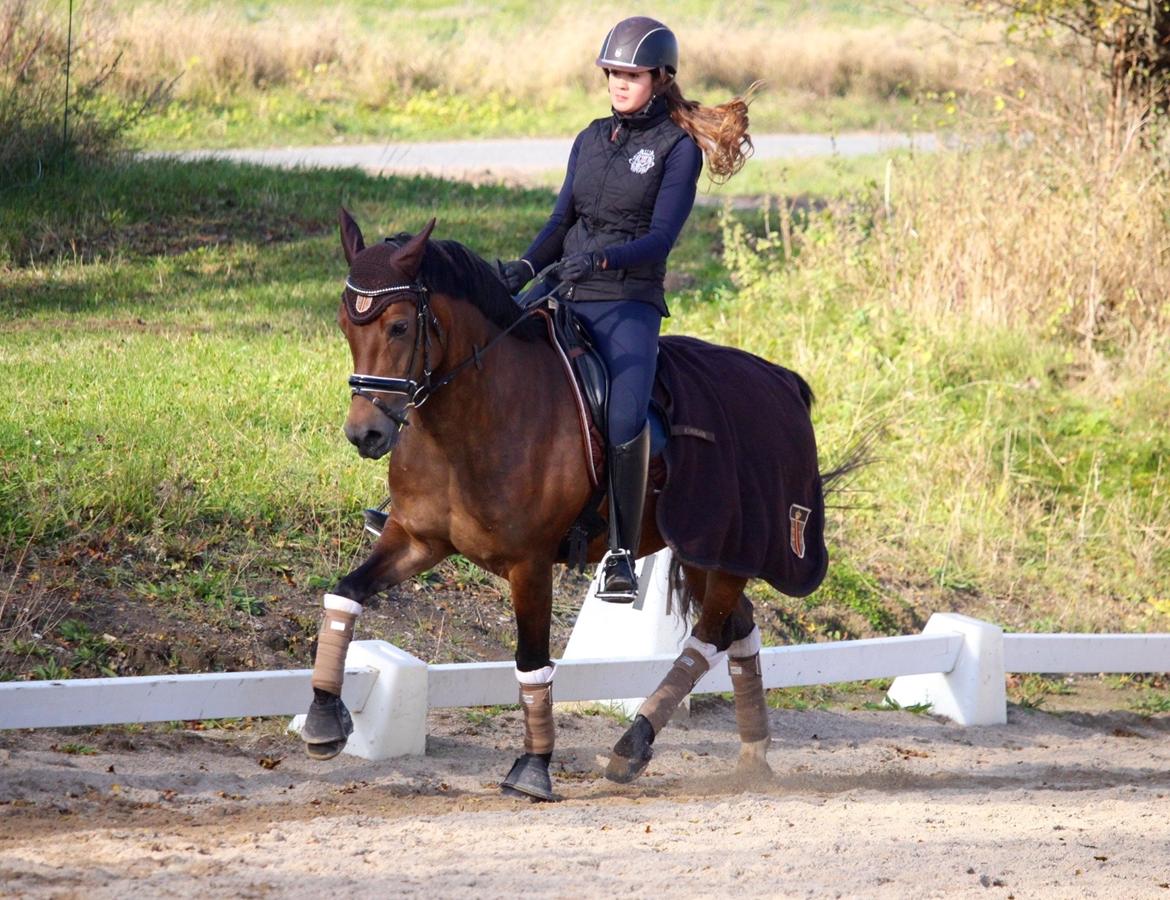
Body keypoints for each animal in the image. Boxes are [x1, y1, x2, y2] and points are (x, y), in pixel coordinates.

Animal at [301, 210, 833, 800]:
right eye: (346, 326)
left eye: (398, 327)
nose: (365, 434)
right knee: (736, 628)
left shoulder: (529, 564)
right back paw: (749, 755)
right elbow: (345, 592)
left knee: (711, 633)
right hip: (701, 550)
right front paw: (324, 720)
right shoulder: (417, 540)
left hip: (728, 546)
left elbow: (532, 661)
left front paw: (532, 769)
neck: (475, 419)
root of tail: (781, 379)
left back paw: (634, 745)